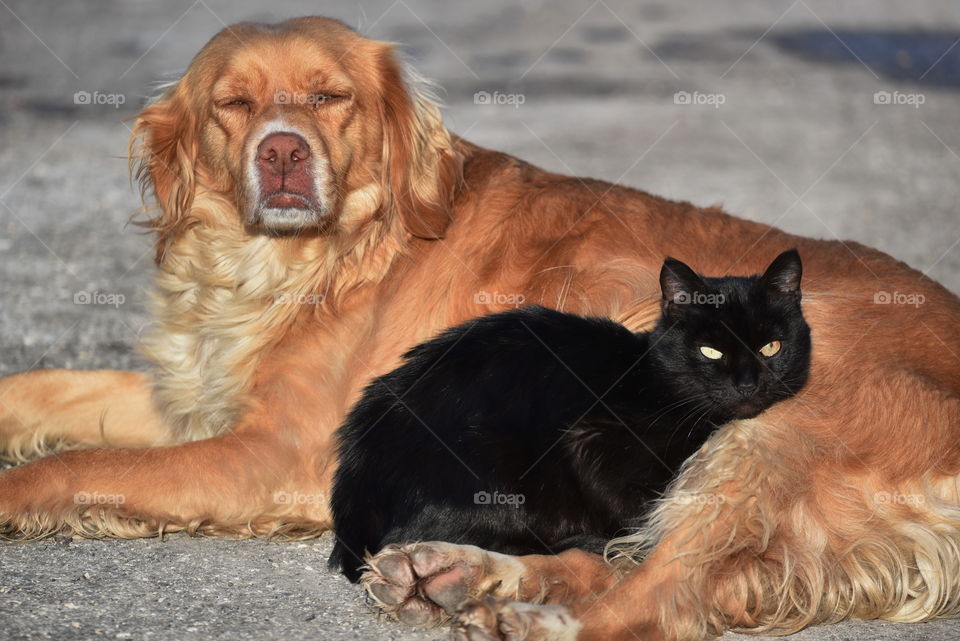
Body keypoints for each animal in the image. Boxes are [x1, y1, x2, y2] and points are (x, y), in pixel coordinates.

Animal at [328, 249, 808, 580]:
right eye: (710, 351)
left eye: (771, 347)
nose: (747, 384)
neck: (655, 383)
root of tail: (355, 478)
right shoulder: (591, 442)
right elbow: (633, 512)